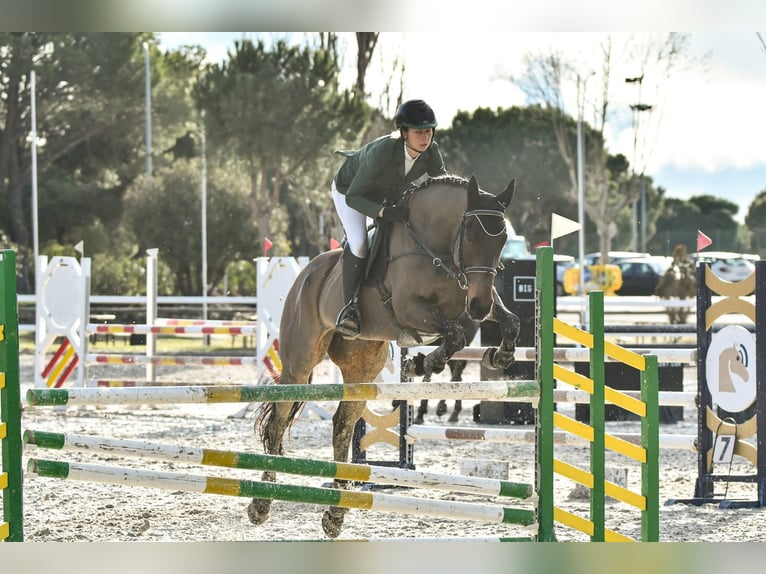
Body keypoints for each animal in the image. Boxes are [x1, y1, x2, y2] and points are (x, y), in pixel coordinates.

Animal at [249, 176, 520, 540]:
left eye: (502, 239)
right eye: (472, 235)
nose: (478, 305)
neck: (438, 251)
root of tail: (307, 273)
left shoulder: (472, 299)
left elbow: (505, 322)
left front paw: (499, 356)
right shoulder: (411, 308)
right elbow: (455, 336)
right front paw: (426, 363)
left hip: (363, 365)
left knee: (342, 425)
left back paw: (335, 514)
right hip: (300, 360)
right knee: (279, 422)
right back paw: (262, 504)